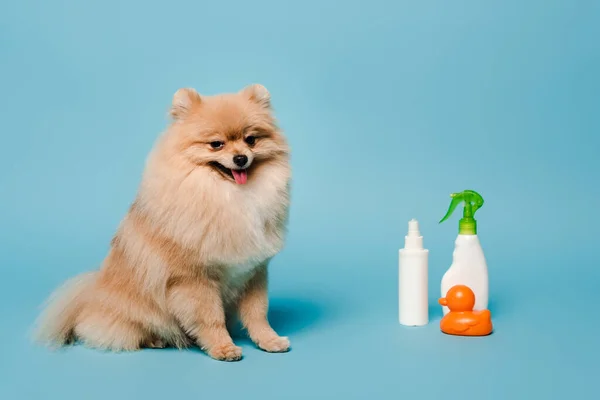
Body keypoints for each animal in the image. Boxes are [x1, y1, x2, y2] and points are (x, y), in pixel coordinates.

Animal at [34, 83, 292, 360]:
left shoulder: (253, 271)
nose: (241, 158)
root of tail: (90, 294)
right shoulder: (194, 279)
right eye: (216, 144)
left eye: (251, 140)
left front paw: (270, 340)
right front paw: (223, 348)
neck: (230, 196)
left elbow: (258, 314)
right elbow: (211, 318)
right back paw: (155, 339)